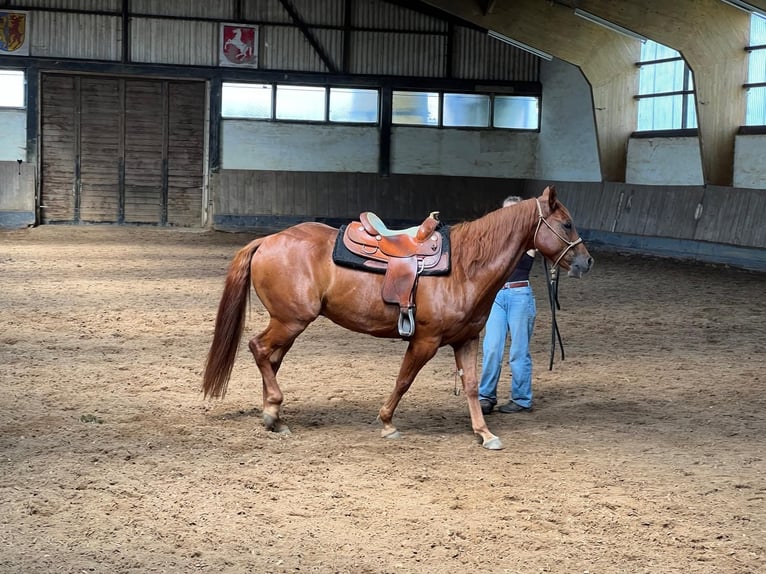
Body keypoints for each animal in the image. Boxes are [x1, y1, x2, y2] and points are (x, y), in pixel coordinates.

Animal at [204, 187, 592, 452]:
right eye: (567, 223)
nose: (587, 262)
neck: (465, 266)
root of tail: (268, 240)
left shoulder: (466, 339)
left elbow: (470, 385)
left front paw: (484, 433)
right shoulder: (426, 341)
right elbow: (404, 380)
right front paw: (387, 422)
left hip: (289, 324)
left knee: (271, 358)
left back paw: (272, 414)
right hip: (290, 321)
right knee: (259, 349)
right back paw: (273, 411)